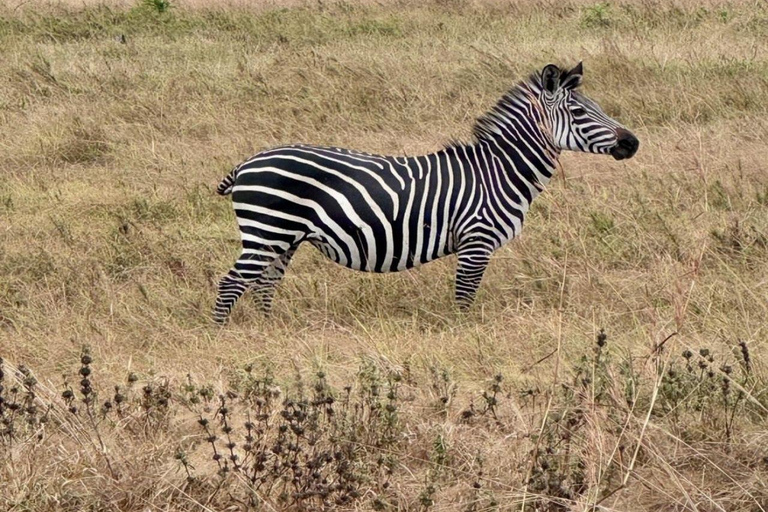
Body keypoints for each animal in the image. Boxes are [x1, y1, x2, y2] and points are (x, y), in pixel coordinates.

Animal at [212, 62, 636, 322]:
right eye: (580, 113)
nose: (633, 143)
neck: (499, 171)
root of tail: (247, 162)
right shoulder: (476, 241)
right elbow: (464, 299)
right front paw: (465, 339)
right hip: (268, 230)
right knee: (232, 283)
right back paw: (222, 335)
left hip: (283, 238)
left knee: (264, 285)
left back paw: (272, 329)